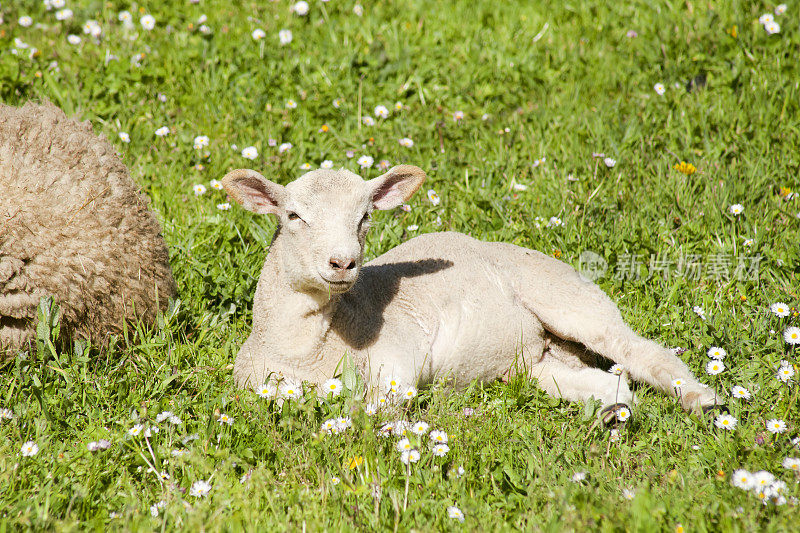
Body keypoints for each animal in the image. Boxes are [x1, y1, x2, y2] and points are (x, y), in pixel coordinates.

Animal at [222, 164, 720, 418]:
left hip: (563, 293)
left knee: (638, 350)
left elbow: (377, 407)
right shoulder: (253, 383)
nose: (343, 263)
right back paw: (614, 413)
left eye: (365, 217)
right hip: (527, 361)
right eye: (292, 216)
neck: (305, 348)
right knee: (600, 381)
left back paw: (700, 399)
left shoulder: (395, 355)